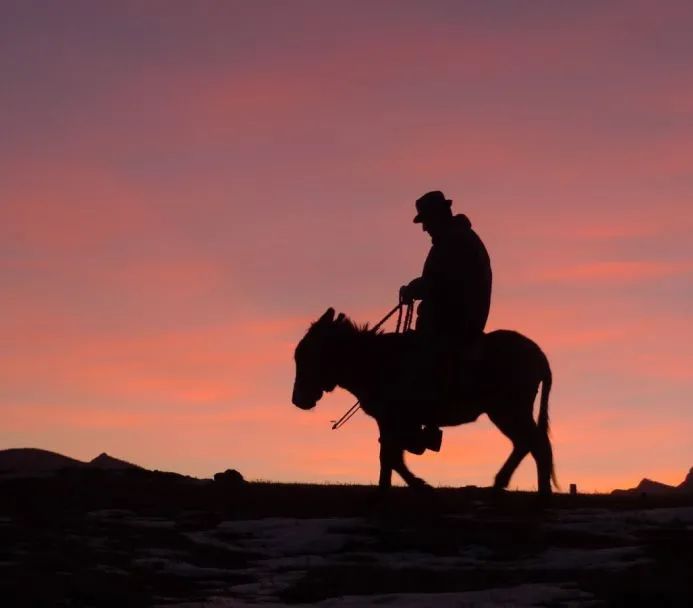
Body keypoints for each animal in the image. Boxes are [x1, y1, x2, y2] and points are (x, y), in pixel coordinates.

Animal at [292, 306, 556, 496]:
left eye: (305, 355)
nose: (298, 401)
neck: (375, 361)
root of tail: (539, 355)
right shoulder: (389, 420)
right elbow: (389, 455)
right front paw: (388, 486)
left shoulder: (394, 418)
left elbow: (391, 456)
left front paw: (413, 485)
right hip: (507, 412)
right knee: (526, 443)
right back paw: (505, 483)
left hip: (508, 410)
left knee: (536, 443)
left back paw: (539, 492)